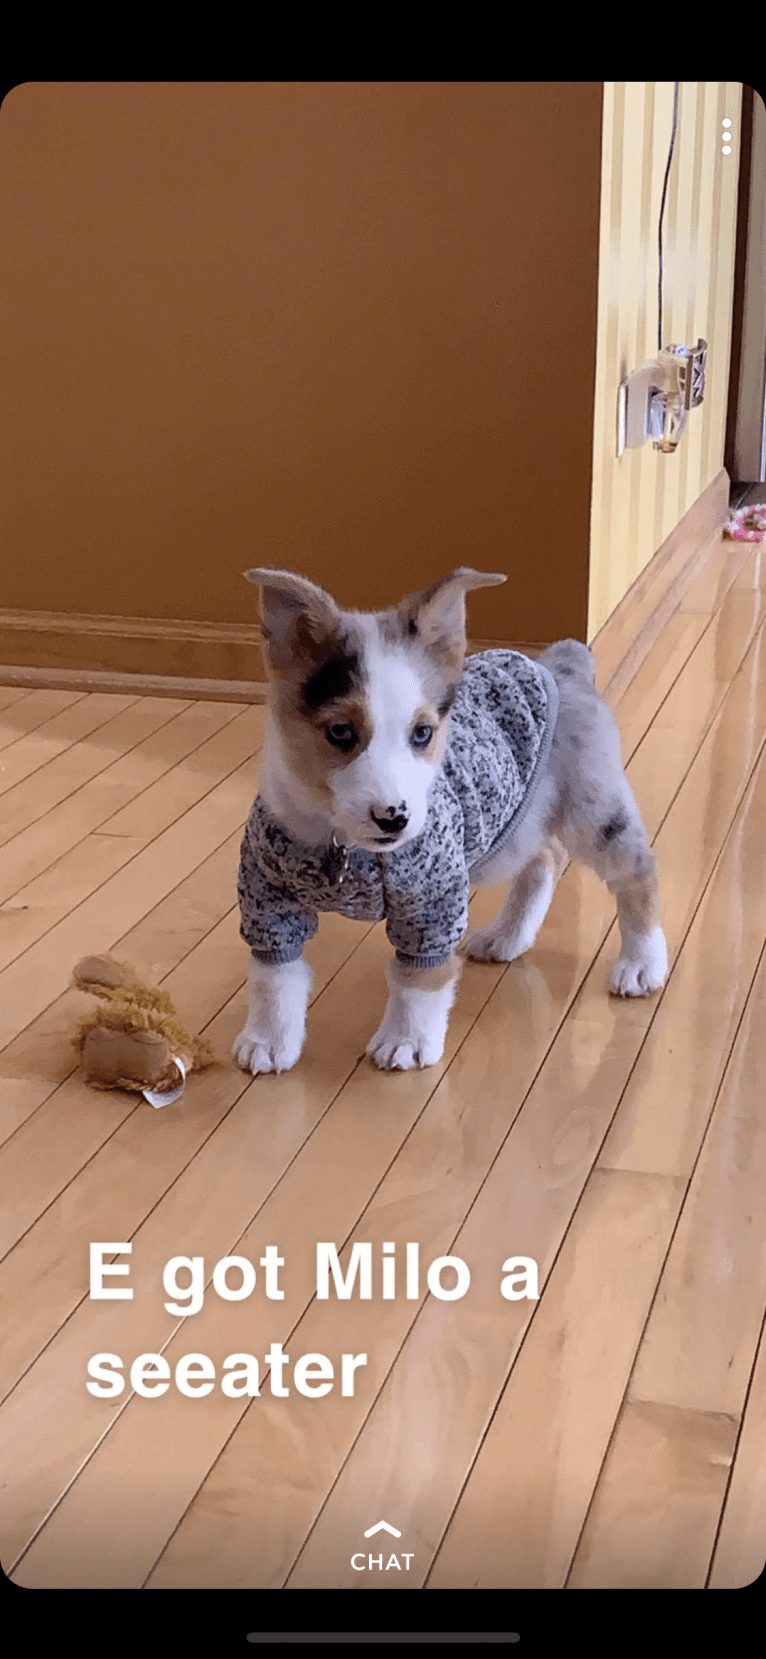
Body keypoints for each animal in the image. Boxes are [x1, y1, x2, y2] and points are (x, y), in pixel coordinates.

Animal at [232, 567, 663, 1075]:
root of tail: (562, 666)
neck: (342, 841)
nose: (394, 818)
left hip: (592, 809)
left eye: (423, 733)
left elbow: (420, 979)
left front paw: (407, 1041)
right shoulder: (267, 897)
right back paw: (506, 938)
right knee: (544, 860)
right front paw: (268, 1040)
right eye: (339, 731)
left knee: (636, 871)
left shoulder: (433, 900)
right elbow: (275, 975)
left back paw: (642, 965)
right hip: (513, 829)